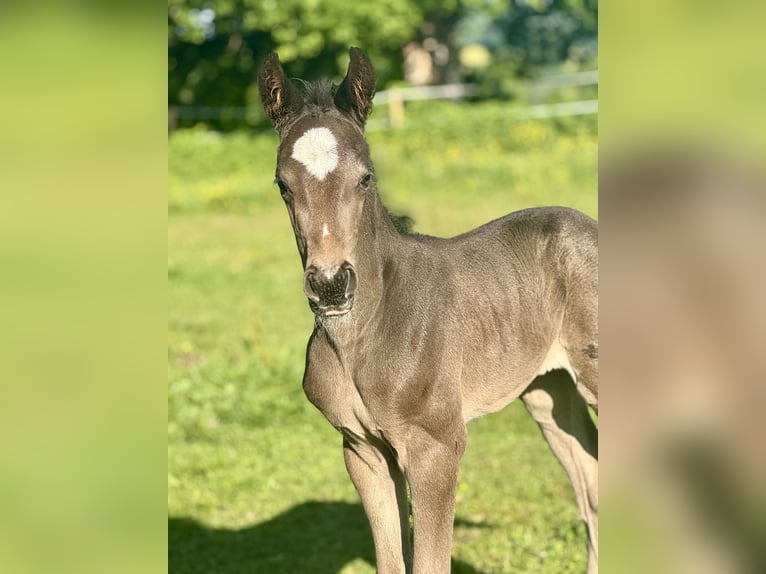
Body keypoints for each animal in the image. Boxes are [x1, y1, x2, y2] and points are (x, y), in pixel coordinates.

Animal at [258, 47, 598, 574]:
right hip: (550, 393)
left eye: (366, 177)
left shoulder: (436, 447)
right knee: (592, 485)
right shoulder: (363, 450)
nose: (331, 286)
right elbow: (391, 560)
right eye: (282, 185)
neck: (370, 331)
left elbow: (429, 562)